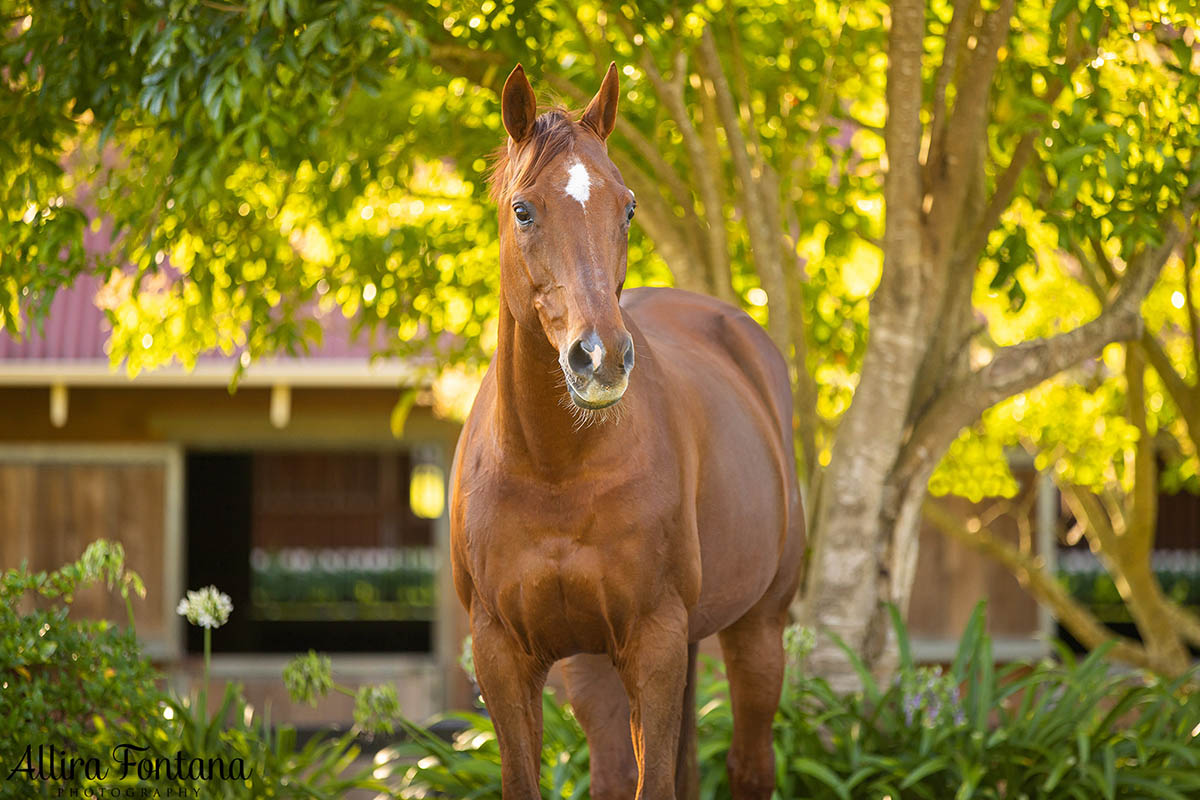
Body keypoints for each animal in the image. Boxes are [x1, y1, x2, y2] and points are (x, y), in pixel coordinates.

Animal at [451, 64, 806, 800]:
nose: (601, 357)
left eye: (628, 206)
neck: (552, 467)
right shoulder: (502, 653)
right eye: (523, 210)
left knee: (750, 766)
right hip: (592, 664)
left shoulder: (655, 642)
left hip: (757, 630)